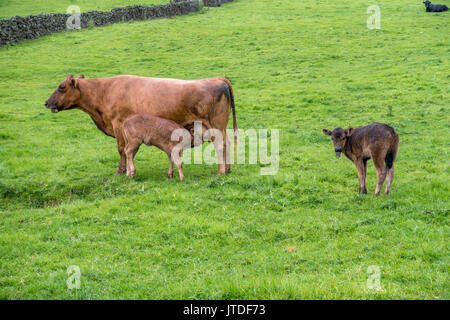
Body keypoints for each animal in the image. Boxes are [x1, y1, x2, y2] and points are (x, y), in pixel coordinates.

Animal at [45, 74, 237, 175]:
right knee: (227, 144)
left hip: (215, 126)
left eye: (61, 87)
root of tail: (217, 78)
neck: (105, 91)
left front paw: (122, 170)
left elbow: (122, 149)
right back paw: (227, 169)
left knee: (220, 146)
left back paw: (221, 171)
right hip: (220, 127)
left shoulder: (118, 124)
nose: (46, 103)